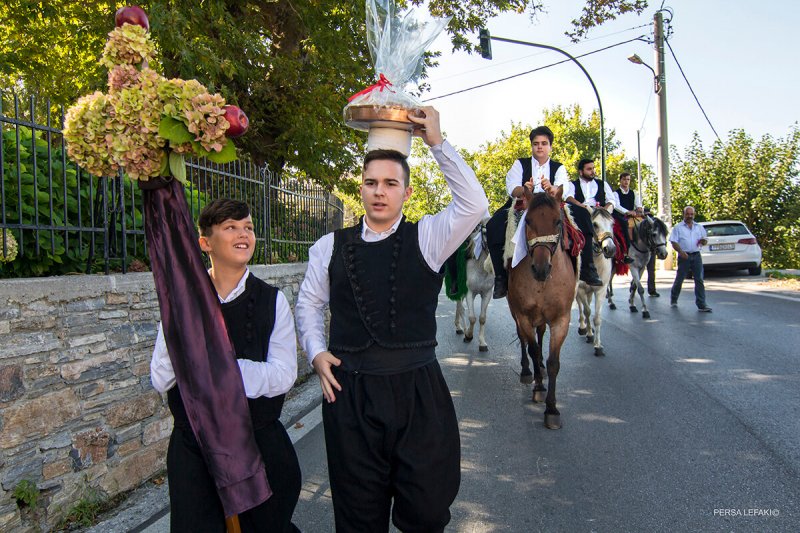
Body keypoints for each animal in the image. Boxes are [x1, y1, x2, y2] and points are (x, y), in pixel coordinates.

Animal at [456, 221, 494, 352]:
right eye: (485, 232)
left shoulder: (487, 293)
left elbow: (482, 318)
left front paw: (482, 343)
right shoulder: (469, 293)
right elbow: (472, 318)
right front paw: (468, 335)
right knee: (461, 308)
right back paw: (461, 329)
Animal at [510, 187, 580, 428]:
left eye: (557, 221)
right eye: (528, 221)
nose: (540, 269)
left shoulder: (561, 320)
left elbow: (553, 363)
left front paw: (552, 409)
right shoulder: (523, 315)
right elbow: (531, 347)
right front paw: (539, 388)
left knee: (540, 335)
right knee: (524, 339)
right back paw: (527, 370)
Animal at [576, 208, 620, 358]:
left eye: (612, 224)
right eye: (594, 224)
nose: (610, 249)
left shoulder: (600, 290)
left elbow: (597, 318)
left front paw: (598, 345)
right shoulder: (581, 289)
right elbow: (587, 311)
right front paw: (589, 334)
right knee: (581, 306)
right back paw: (582, 327)